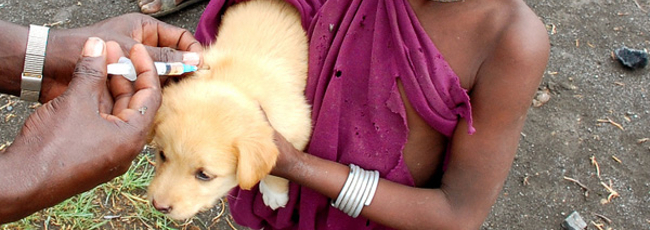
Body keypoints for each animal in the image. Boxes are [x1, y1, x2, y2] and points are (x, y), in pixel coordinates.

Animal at [148, 0, 310, 220]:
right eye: (162, 155)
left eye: (204, 175)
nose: (158, 206)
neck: (236, 83)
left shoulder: (296, 127)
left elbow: (280, 168)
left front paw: (274, 193)